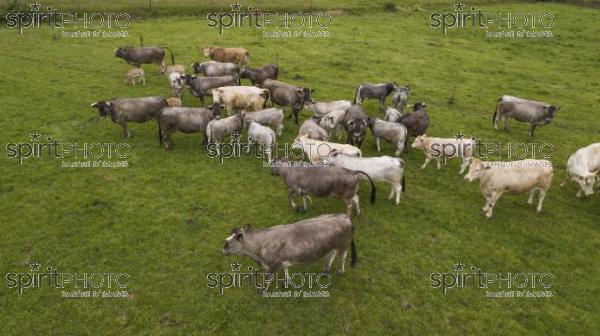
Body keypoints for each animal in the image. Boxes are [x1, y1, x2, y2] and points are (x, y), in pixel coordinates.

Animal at [224, 215, 356, 292]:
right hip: (332, 246)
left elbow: (267, 279)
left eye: (229, 243)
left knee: (342, 257)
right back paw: (326, 270)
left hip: (343, 245)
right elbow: (286, 271)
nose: (223, 248)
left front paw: (262, 290)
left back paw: (340, 271)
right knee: (331, 254)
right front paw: (288, 283)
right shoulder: (282, 261)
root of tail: (344, 216)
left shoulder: (273, 265)